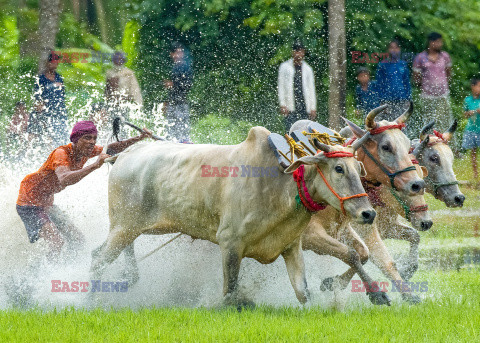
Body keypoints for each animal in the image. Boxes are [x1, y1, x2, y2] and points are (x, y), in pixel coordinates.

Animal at [90, 126, 378, 306]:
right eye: (339, 168)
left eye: (358, 167)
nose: (368, 213)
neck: (279, 185)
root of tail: (124, 154)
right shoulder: (230, 244)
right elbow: (230, 294)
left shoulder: (292, 247)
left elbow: (304, 292)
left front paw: (377, 295)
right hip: (123, 227)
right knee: (98, 259)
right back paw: (90, 301)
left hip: (134, 228)